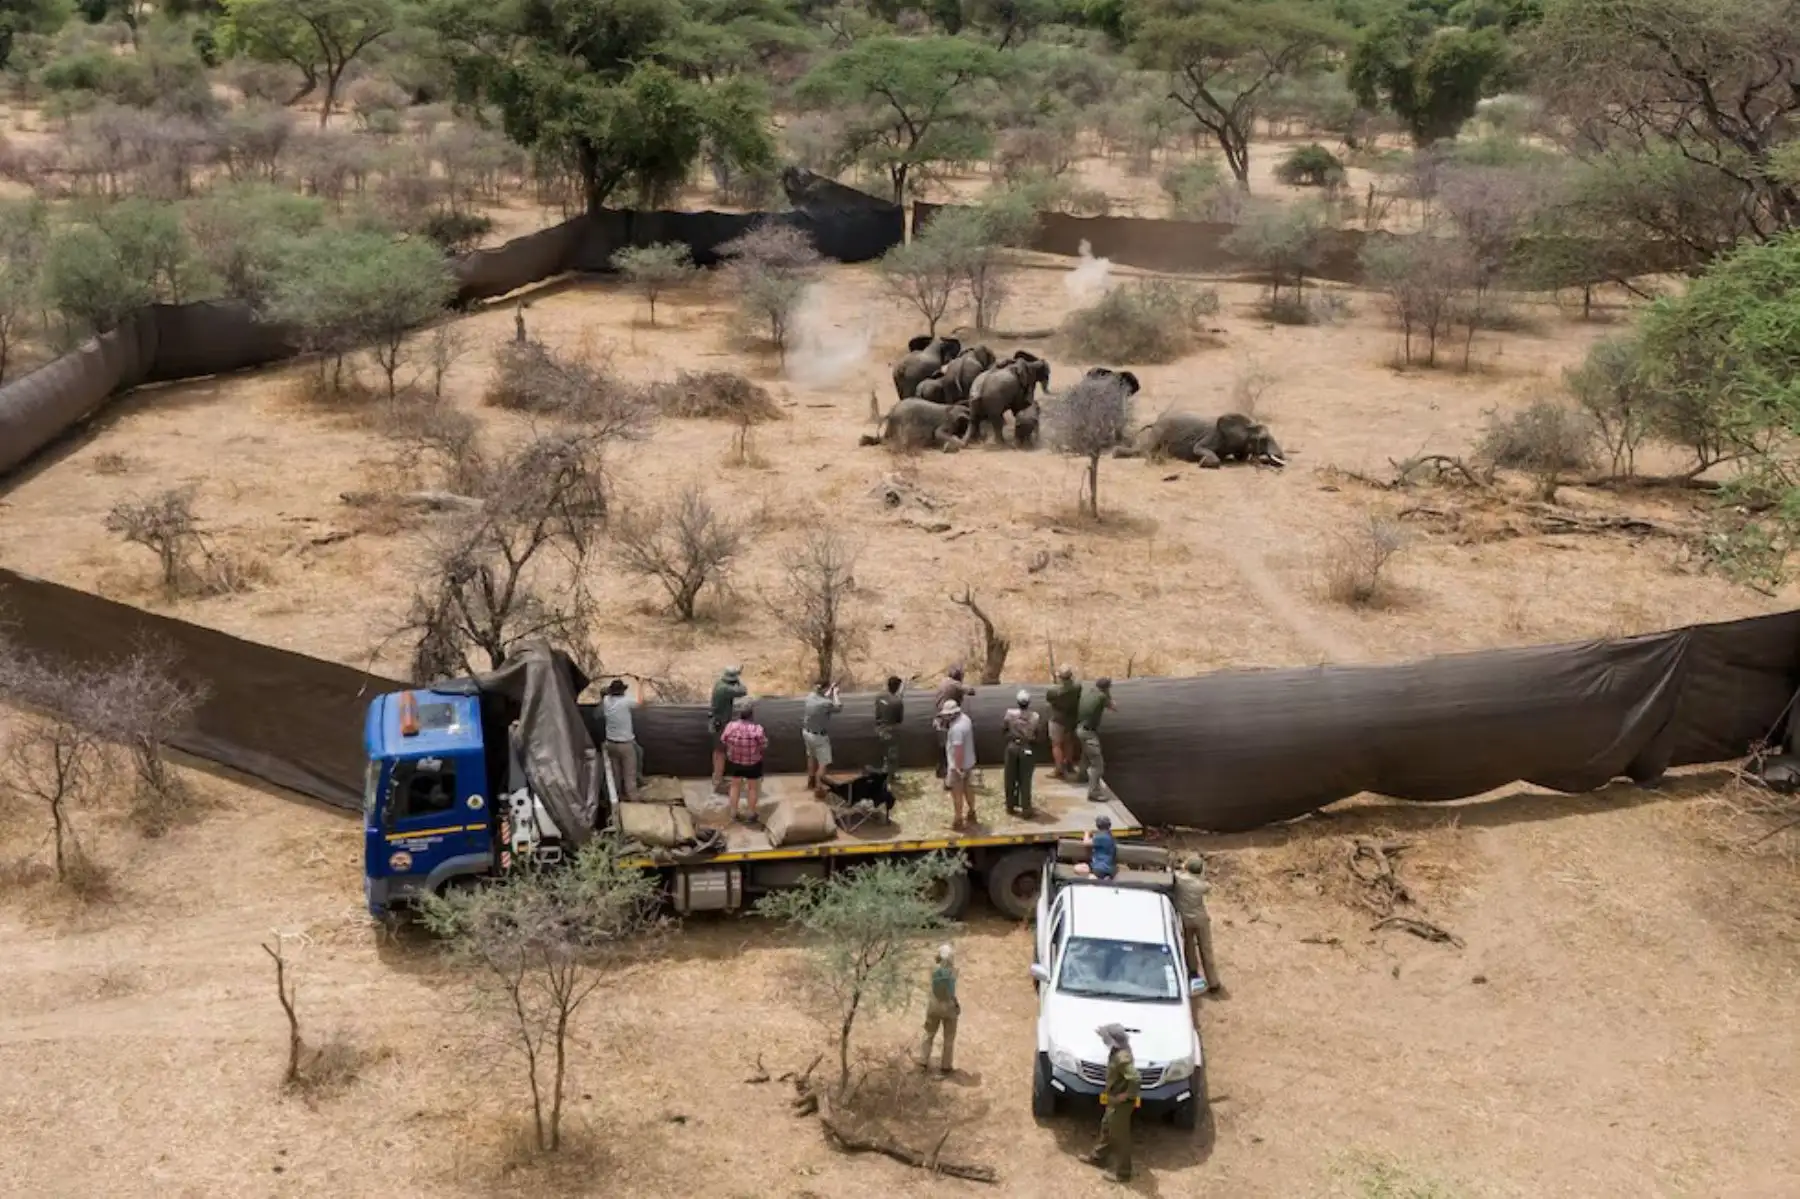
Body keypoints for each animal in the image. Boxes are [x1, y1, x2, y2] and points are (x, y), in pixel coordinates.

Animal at [1113, 411, 1286, 468]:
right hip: (1157, 434)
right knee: (1144, 450)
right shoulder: (1215, 436)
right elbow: (1198, 448)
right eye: (1263, 439)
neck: (1248, 426)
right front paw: (1202, 463)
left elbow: (1242, 458)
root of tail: (1155, 422)